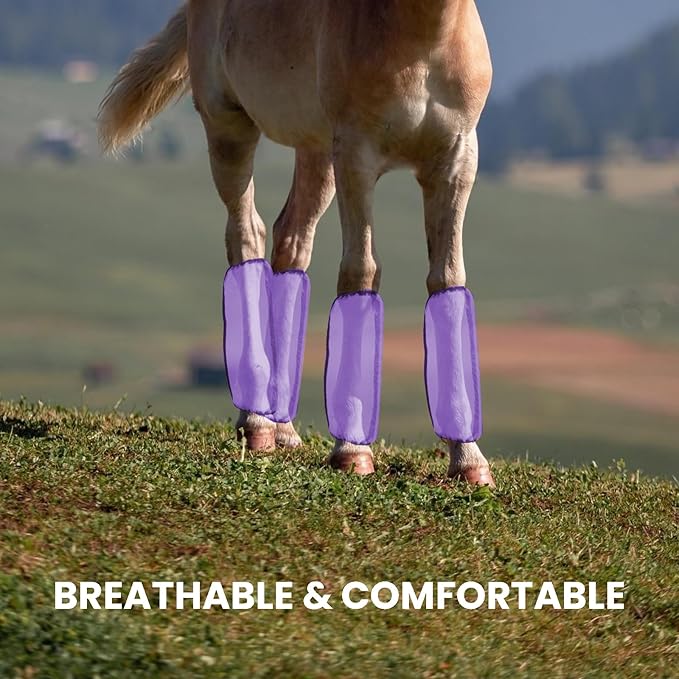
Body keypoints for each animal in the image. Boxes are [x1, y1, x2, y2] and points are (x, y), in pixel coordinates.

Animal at [98, 0, 495, 487]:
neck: (424, 38)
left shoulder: (457, 159)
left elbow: (447, 279)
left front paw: (469, 458)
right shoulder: (357, 155)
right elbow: (361, 271)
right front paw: (352, 450)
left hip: (316, 150)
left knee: (291, 243)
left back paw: (282, 426)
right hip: (230, 127)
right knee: (246, 235)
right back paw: (256, 424)